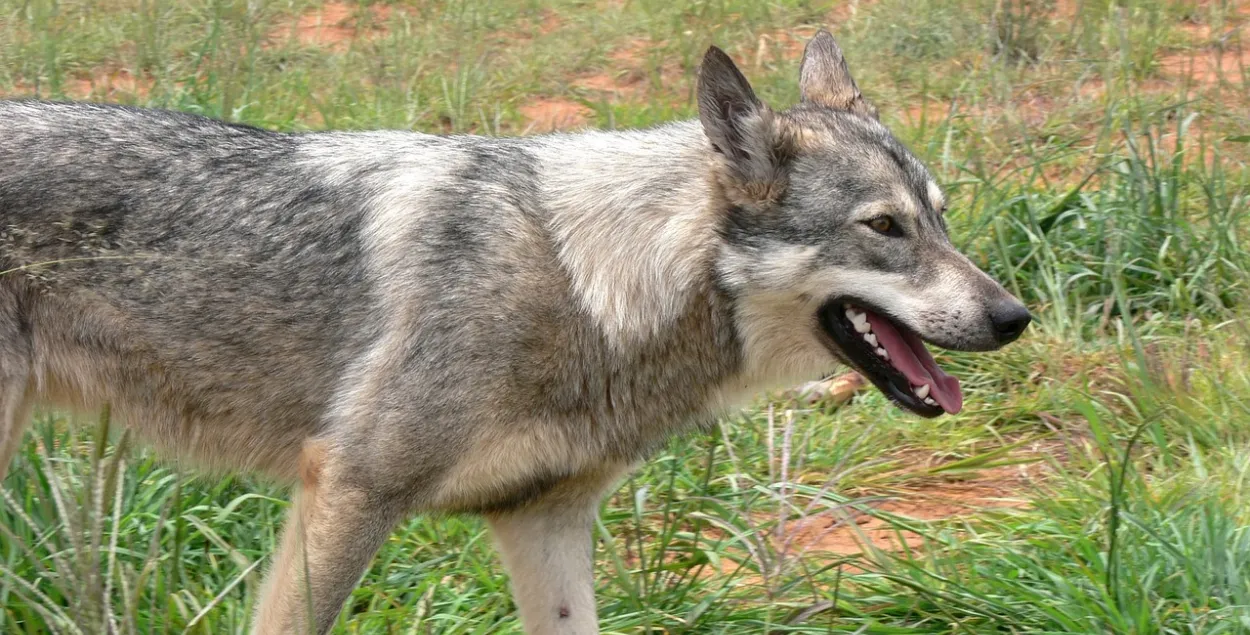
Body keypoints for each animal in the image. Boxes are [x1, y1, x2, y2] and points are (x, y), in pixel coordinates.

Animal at [2, 30, 1025, 635]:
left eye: (941, 219)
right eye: (884, 227)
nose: (1015, 317)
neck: (587, 283)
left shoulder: (545, 522)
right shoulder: (351, 492)